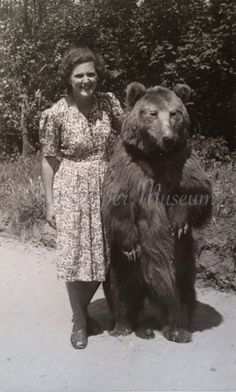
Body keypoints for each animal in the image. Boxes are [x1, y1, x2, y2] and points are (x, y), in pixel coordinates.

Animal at [101, 82, 212, 344]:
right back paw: (124, 325)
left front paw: (180, 220)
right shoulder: (127, 166)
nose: (168, 138)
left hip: (182, 256)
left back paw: (178, 326)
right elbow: (116, 201)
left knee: (180, 286)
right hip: (125, 264)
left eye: (174, 113)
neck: (155, 155)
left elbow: (199, 191)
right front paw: (131, 243)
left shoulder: (181, 162)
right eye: (152, 113)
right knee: (122, 288)